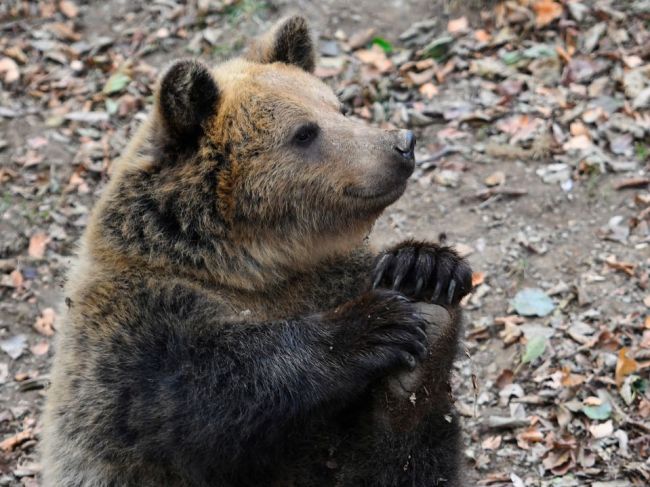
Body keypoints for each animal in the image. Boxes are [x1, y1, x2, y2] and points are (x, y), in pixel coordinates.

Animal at [43, 15, 470, 487]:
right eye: (304, 132)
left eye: (338, 107)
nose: (401, 144)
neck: (251, 266)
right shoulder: (132, 331)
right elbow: (206, 386)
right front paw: (375, 325)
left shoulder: (330, 275)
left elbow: (398, 460)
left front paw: (424, 270)